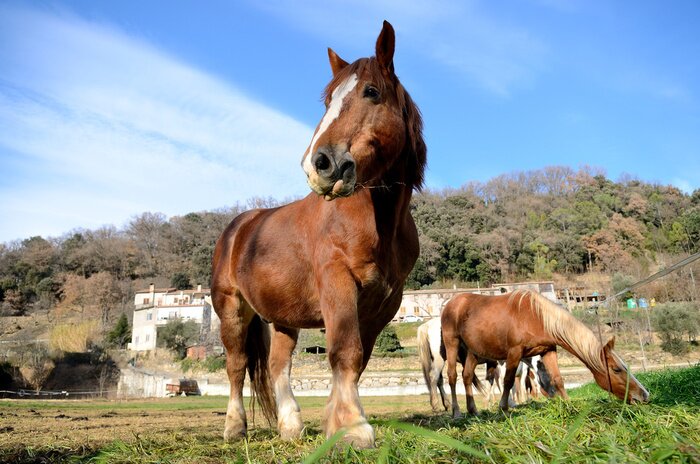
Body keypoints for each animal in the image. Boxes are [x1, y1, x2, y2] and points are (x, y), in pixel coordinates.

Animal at [210, 21, 426, 448]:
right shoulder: (337, 283)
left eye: (371, 91)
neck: (377, 221)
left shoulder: (384, 303)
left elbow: (358, 359)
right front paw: (354, 427)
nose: (319, 164)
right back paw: (234, 427)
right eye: (328, 101)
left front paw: (336, 423)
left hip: (282, 318)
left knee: (278, 364)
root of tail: (237, 228)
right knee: (237, 365)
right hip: (231, 309)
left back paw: (290, 426)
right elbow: (344, 352)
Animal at [441, 291, 649, 417]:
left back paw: (473, 410)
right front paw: (503, 408)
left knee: (467, 376)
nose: (644, 395)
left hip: (473, 352)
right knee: (452, 377)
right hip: (452, 344)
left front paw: (569, 405)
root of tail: (451, 303)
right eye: (616, 369)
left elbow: (558, 379)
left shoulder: (548, 351)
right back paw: (456, 412)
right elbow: (508, 381)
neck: (537, 316)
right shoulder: (514, 352)